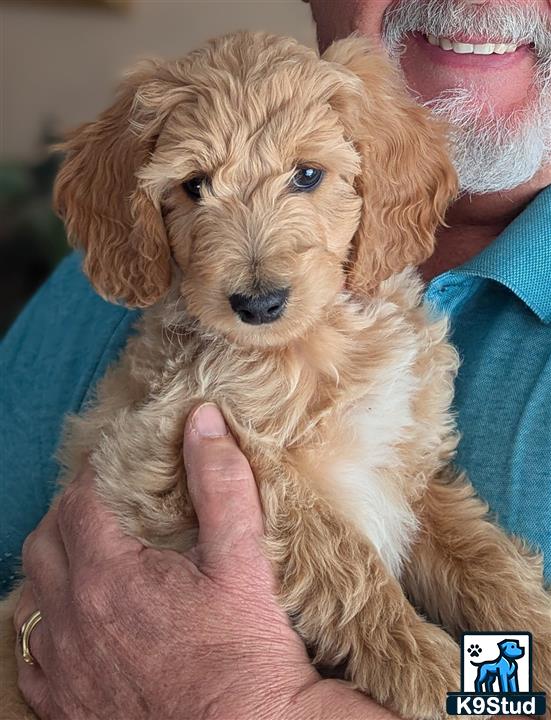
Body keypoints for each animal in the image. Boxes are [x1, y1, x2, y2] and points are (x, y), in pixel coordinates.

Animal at [1, 31, 551, 716]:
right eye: (194, 186)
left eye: (308, 174)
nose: (258, 304)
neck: (319, 345)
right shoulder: (180, 451)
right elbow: (341, 560)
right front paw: (428, 669)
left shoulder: (410, 466)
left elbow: (479, 555)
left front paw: (535, 631)